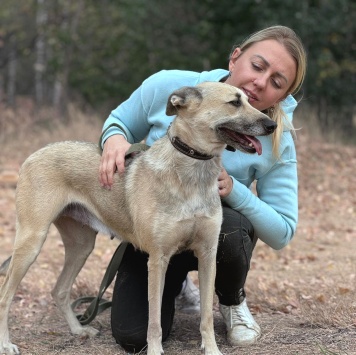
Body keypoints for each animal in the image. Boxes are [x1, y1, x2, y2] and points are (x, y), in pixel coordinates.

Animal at [0, 82, 276, 355]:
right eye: (235, 102)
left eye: (249, 100)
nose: (271, 126)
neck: (191, 171)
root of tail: (35, 154)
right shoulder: (157, 260)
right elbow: (153, 321)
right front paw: (155, 350)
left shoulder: (208, 255)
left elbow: (206, 316)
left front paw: (212, 349)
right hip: (32, 241)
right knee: (5, 297)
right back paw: (6, 344)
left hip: (81, 247)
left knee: (59, 290)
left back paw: (78, 330)